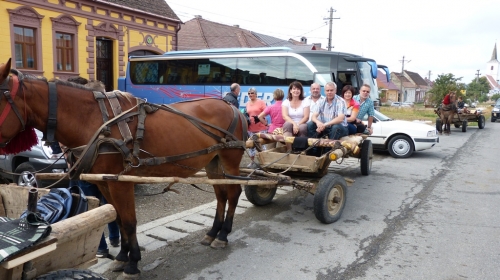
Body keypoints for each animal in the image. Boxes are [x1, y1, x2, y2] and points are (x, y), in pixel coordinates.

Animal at [0, 58, 248, 276]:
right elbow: (117, 218)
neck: (95, 121)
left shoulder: (120, 182)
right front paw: (122, 257)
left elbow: (129, 222)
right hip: (213, 162)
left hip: (229, 160)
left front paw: (132, 263)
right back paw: (213, 232)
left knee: (234, 193)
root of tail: (233, 107)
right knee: (221, 195)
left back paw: (223, 235)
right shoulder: (104, 182)